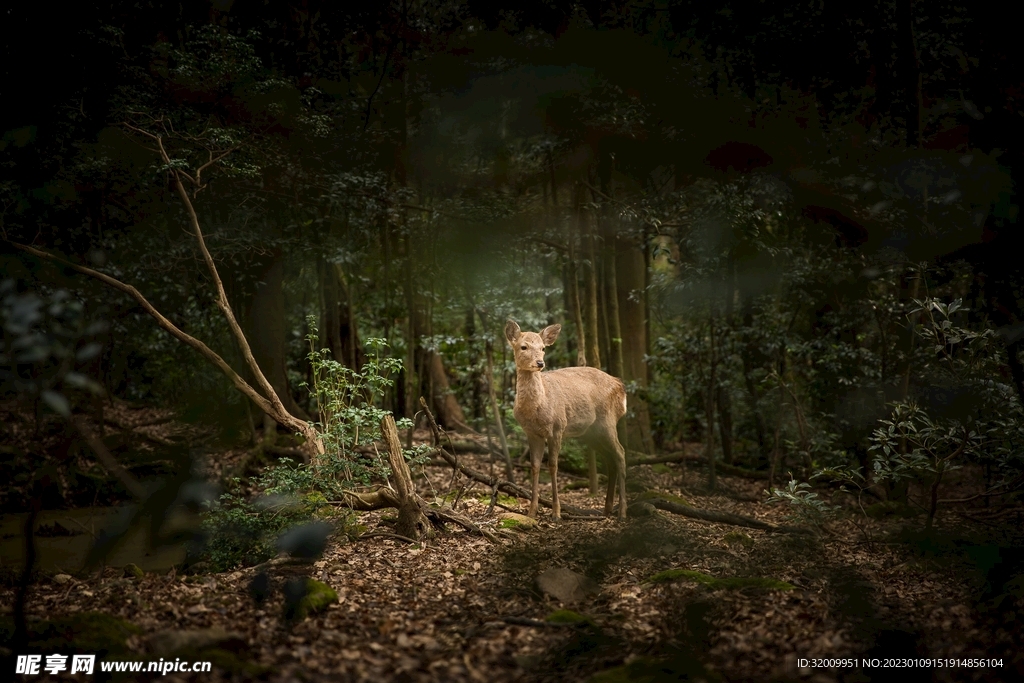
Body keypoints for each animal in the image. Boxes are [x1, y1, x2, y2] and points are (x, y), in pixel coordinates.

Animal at [504, 320, 629, 520]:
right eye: (524, 346)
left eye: (543, 348)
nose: (540, 363)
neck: (538, 406)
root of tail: (621, 387)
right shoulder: (532, 433)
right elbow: (535, 466)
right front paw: (532, 512)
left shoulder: (557, 427)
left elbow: (553, 465)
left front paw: (556, 512)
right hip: (591, 433)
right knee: (610, 459)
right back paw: (607, 509)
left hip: (608, 421)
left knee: (620, 453)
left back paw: (622, 511)